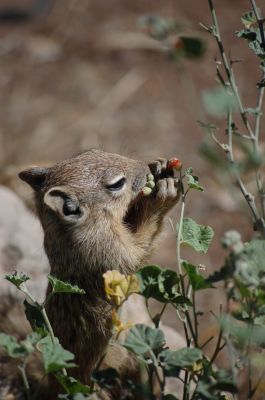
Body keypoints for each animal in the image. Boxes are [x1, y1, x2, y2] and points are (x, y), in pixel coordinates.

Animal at [1, 151, 179, 400]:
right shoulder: (103, 248)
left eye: (92, 152)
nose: (145, 168)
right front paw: (161, 197)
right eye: (116, 184)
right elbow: (134, 253)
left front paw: (160, 166)